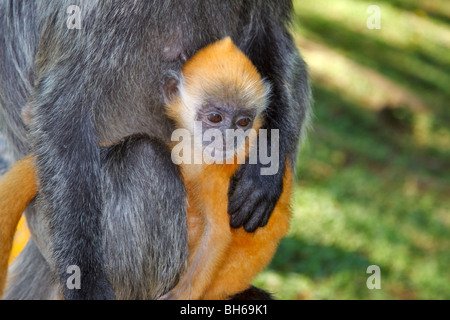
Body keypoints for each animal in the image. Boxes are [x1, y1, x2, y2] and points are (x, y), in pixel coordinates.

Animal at [0, 0, 310, 300]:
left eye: (243, 122)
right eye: (214, 117)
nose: (228, 137)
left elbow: (273, 34)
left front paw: (264, 169)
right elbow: (64, 109)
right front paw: (87, 285)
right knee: (144, 158)